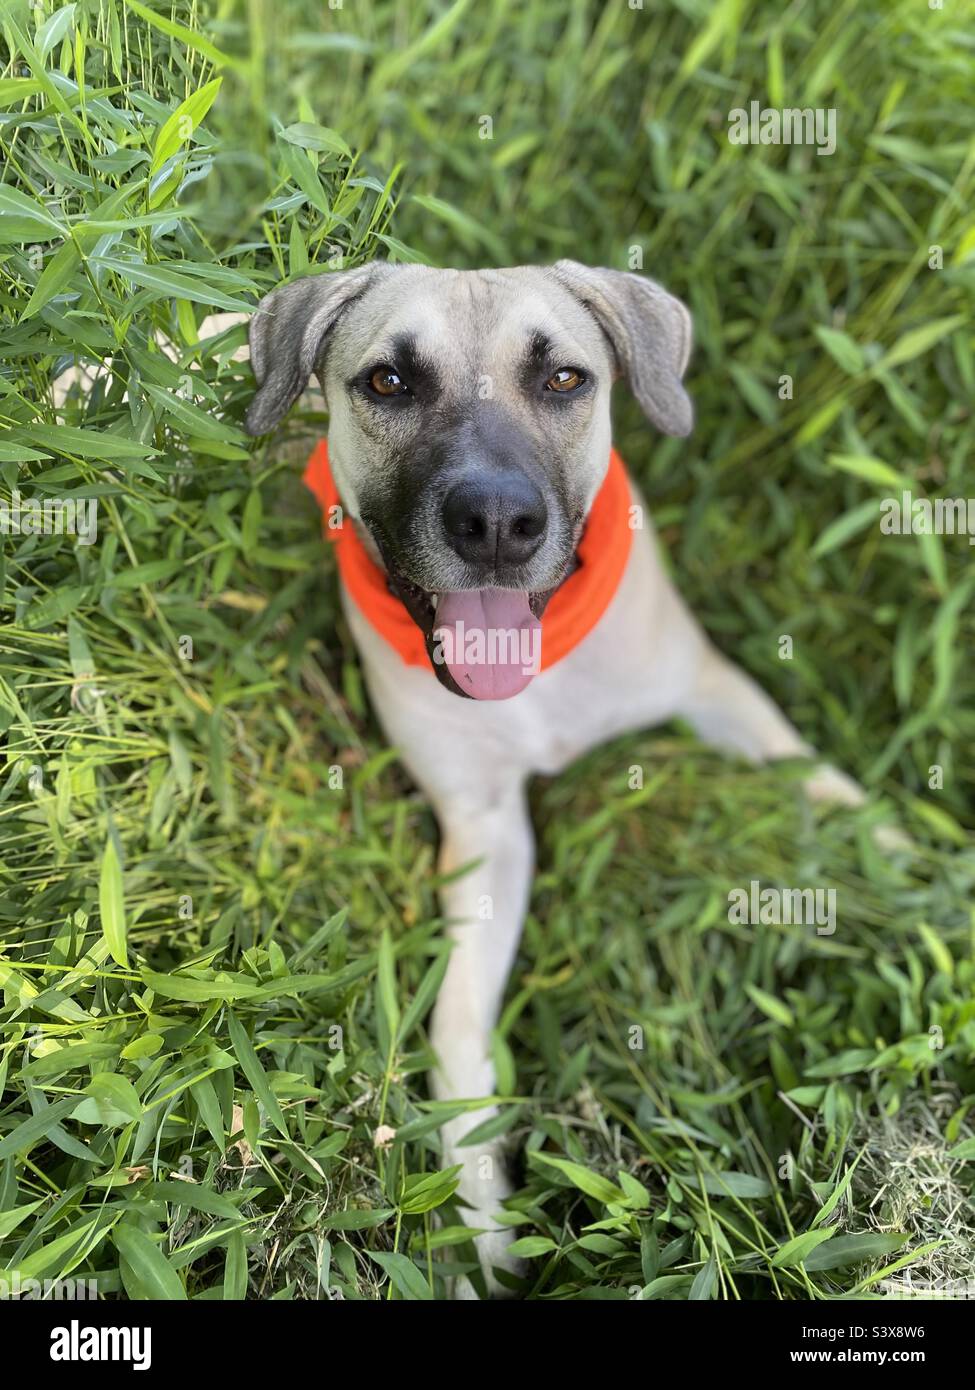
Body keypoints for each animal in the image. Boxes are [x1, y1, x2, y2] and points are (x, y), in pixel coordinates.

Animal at [243, 265, 884, 1295]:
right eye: (388, 382)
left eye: (564, 380)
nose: (496, 524)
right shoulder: (484, 833)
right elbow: (456, 1027)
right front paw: (478, 1217)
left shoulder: (712, 690)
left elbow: (825, 786)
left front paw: (917, 873)